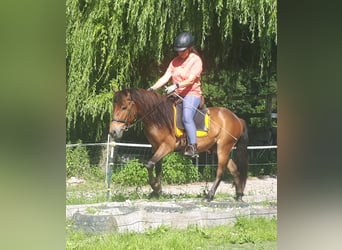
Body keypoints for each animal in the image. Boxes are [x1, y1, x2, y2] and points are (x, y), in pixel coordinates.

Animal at [109, 88, 248, 201]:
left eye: (124, 107)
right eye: (114, 107)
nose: (113, 131)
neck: (159, 118)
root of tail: (236, 118)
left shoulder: (167, 146)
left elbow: (149, 164)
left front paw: (155, 187)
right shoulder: (156, 147)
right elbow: (157, 167)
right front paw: (157, 191)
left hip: (223, 148)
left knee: (220, 171)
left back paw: (209, 195)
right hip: (218, 148)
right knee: (234, 170)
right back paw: (239, 195)